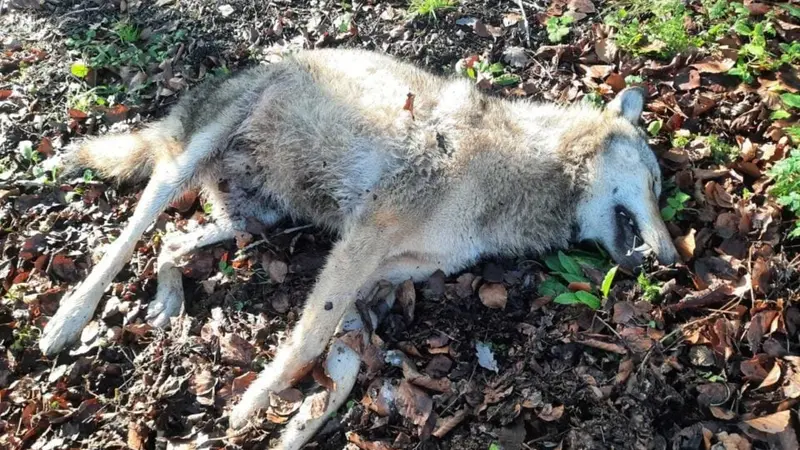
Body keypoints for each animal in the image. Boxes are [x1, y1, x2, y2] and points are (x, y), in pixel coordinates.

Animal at [38, 48, 678, 448]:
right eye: (653, 184)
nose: (672, 261)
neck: (528, 170)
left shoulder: (375, 283)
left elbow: (338, 375)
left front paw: (290, 428)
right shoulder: (363, 239)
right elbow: (306, 341)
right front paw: (253, 405)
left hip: (257, 220)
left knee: (172, 240)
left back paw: (166, 301)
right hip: (183, 173)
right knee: (125, 241)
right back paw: (67, 322)